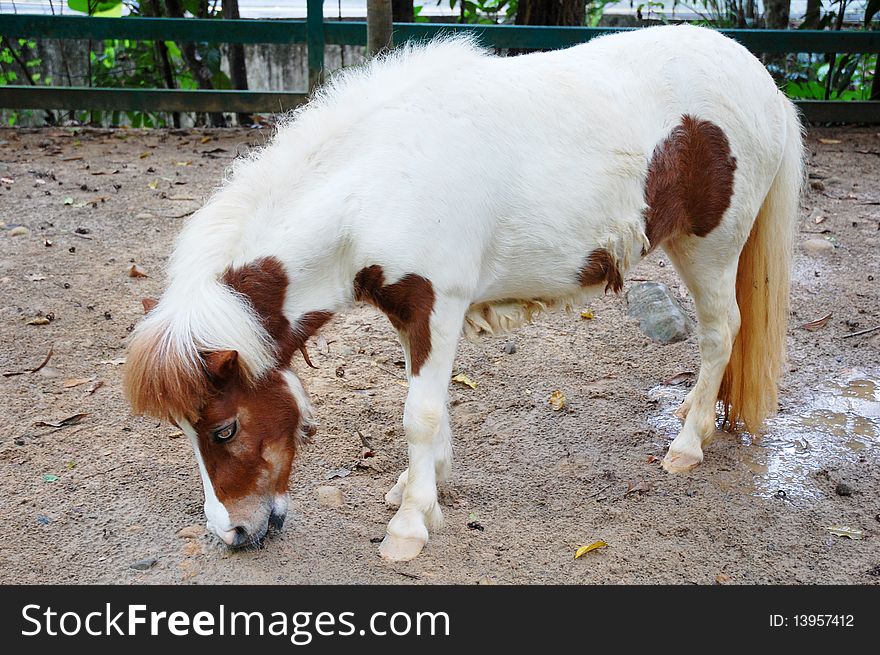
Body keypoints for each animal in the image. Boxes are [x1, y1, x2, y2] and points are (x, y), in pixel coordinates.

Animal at [124, 23, 804, 560]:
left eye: (223, 430)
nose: (233, 534)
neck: (375, 184)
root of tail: (763, 84)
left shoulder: (436, 305)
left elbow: (419, 415)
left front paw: (408, 529)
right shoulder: (410, 313)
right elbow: (433, 407)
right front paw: (419, 490)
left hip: (709, 248)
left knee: (720, 333)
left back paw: (688, 444)